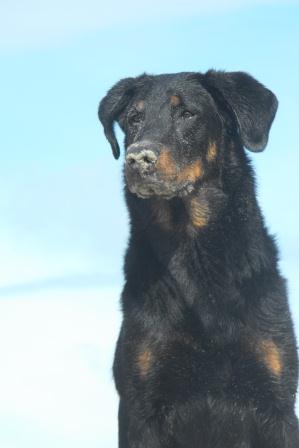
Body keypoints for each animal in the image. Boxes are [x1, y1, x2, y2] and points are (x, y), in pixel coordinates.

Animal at [99, 71, 298, 448]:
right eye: (133, 119)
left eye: (187, 114)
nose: (137, 157)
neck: (192, 253)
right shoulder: (141, 407)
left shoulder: (276, 403)